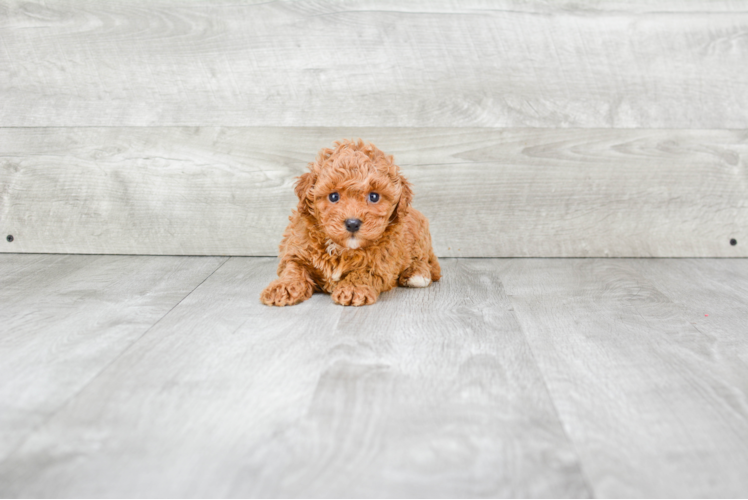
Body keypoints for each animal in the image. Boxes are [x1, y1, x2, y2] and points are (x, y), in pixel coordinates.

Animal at [262, 139, 442, 306]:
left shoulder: (382, 261)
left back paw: (416, 274)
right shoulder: (297, 250)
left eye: (374, 196)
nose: (353, 223)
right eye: (333, 196)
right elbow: (293, 269)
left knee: (427, 261)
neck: (341, 248)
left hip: (418, 238)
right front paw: (283, 288)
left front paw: (354, 288)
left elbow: (364, 271)